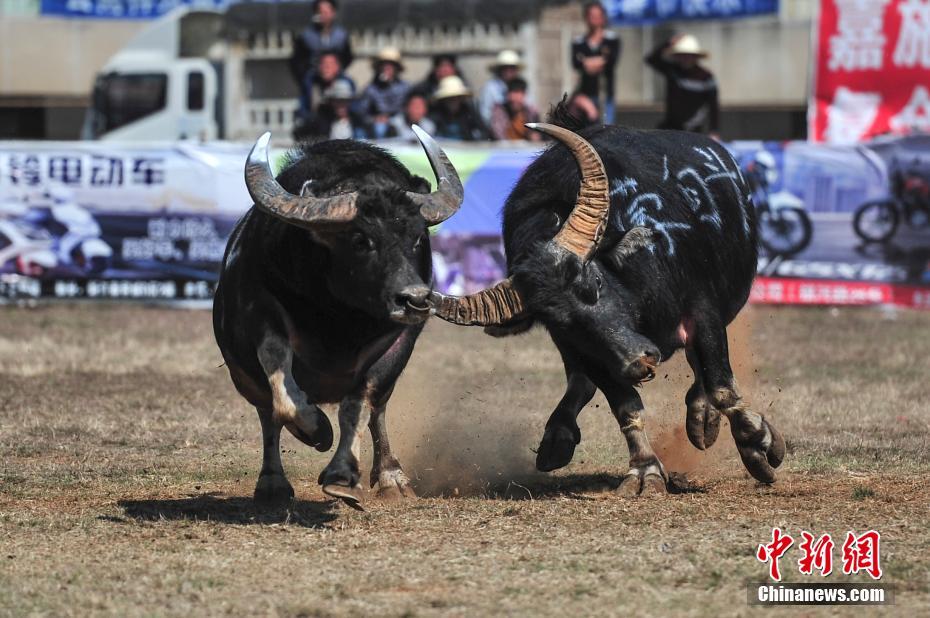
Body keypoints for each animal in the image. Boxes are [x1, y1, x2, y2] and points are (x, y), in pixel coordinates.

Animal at [217, 126, 464, 506]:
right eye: (361, 239)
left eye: (417, 237)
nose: (415, 300)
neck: (339, 320)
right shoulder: (259, 315)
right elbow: (282, 389)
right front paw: (317, 429)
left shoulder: (396, 341)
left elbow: (360, 406)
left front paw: (343, 475)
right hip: (243, 377)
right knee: (267, 417)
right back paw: (272, 482)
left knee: (378, 411)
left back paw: (391, 477)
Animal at [428, 113, 784, 494]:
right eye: (557, 322)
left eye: (595, 283)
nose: (640, 362)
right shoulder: (590, 352)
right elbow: (626, 407)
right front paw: (645, 470)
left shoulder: (703, 312)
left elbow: (721, 387)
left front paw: (758, 444)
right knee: (580, 383)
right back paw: (557, 439)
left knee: (700, 372)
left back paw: (702, 419)